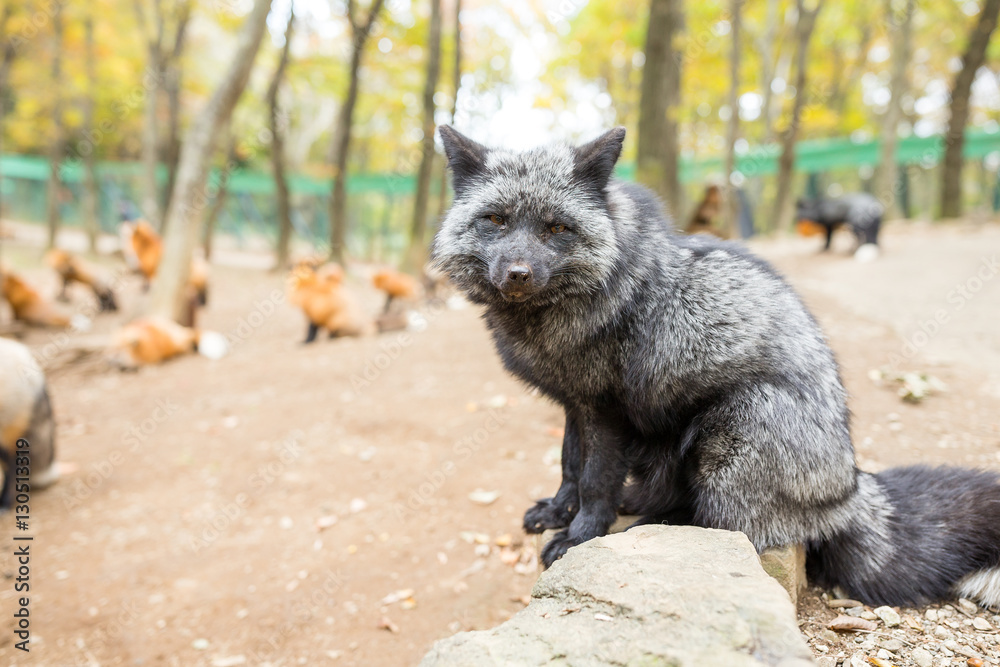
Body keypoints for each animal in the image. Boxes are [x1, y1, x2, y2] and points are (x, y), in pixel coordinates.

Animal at [431, 125, 1000, 608]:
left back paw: (649, 526)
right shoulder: (576, 402)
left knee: (724, 527)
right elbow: (570, 465)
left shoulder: (607, 410)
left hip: (731, 428)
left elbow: (594, 480)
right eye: (496, 220)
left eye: (556, 228)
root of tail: (849, 489)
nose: (518, 273)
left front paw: (577, 538)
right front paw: (556, 512)